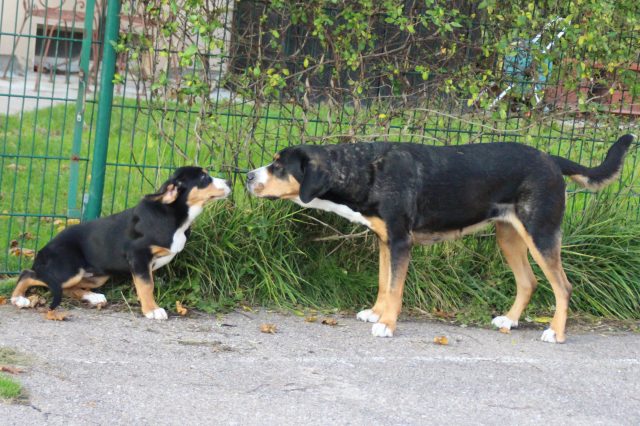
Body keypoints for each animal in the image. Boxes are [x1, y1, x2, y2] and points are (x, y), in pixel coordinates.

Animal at [11, 166, 230, 320]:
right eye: (204, 178)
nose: (229, 180)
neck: (175, 216)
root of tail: (43, 251)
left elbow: (146, 284)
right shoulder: (138, 255)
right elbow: (146, 285)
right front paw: (152, 310)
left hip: (98, 276)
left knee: (65, 287)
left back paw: (92, 297)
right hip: (69, 269)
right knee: (29, 274)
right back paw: (18, 298)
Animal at [246, 135, 636, 342]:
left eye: (279, 166)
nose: (249, 176)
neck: (366, 169)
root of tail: (551, 159)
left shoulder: (401, 242)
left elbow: (396, 289)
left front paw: (387, 324)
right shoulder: (385, 241)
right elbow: (383, 283)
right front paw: (375, 313)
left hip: (540, 233)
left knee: (562, 286)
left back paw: (555, 332)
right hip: (509, 236)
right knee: (528, 282)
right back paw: (509, 321)